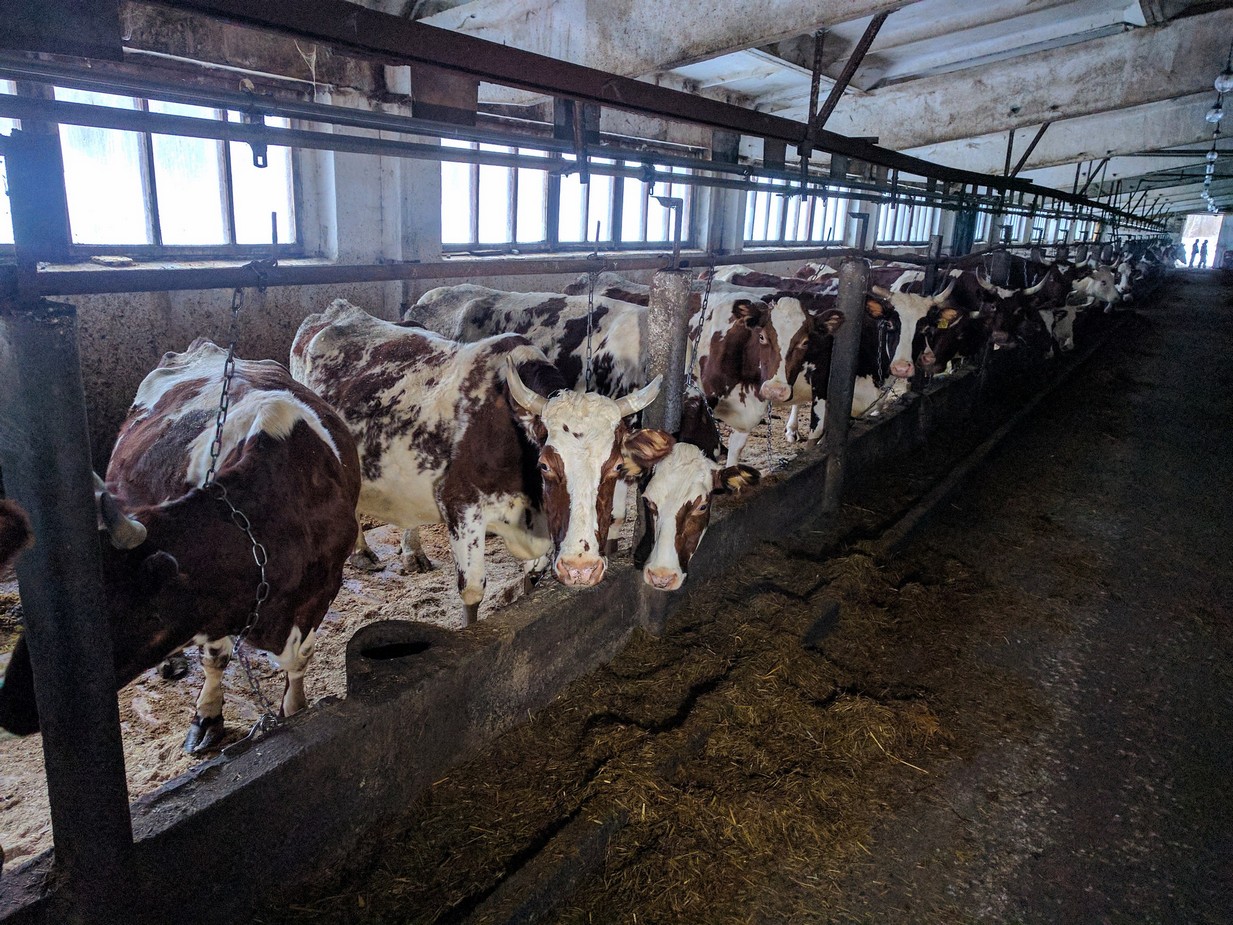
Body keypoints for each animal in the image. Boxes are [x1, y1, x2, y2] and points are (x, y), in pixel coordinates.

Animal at [0, 339, 363, 754]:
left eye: (105, 617)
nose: (10, 708)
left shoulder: (321, 592)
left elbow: (298, 662)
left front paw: (295, 708)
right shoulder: (212, 608)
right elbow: (215, 658)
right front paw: (207, 715)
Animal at [291, 299, 670, 625]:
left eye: (616, 467)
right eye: (545, 465)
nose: (582, 568)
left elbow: (532, 578)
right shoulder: (460, 506)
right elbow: (472, 592)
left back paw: (412, 553)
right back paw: (360, 552)